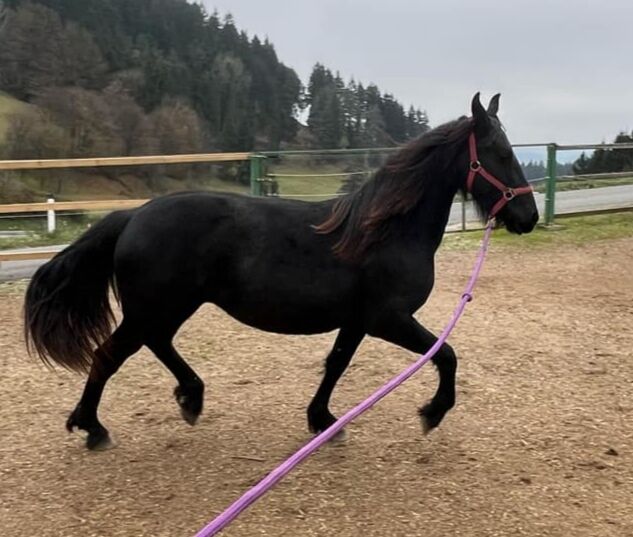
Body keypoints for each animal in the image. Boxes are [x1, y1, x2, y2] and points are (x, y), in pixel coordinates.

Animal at [24, 93, 540, 448]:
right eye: (499, 153)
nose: (528, 217)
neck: (386, 231)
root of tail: (133, 215)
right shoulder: (387, 318)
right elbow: (446, 354)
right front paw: (433, 412)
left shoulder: (357, 320)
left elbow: (336, 364)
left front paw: (323, 422)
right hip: (154, 308)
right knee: (109, 355)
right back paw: (94, 428)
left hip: (167, 308)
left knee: (154, 345)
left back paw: (190, 397)